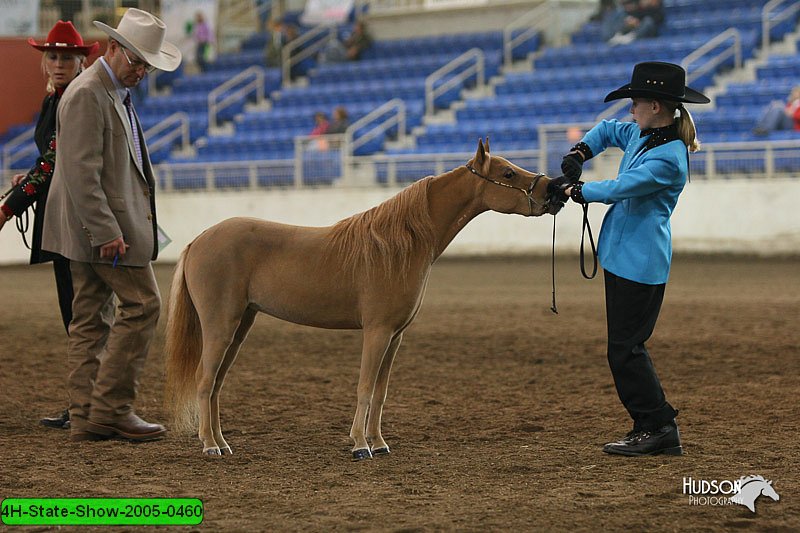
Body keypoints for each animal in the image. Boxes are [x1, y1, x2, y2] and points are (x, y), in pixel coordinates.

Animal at [165, 139, 560, 460]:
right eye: (508, 172)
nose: (552, 190)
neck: (401, 244)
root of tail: (199, 240)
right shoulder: (377, 331)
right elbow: (365, 387)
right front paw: (359, 445)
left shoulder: (395, 336)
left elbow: (381, 392)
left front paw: (379, 443)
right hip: (221, 326)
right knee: (204, 381)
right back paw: (210, 446)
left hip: (240, 325)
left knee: (216, 385)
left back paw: (222, 442)